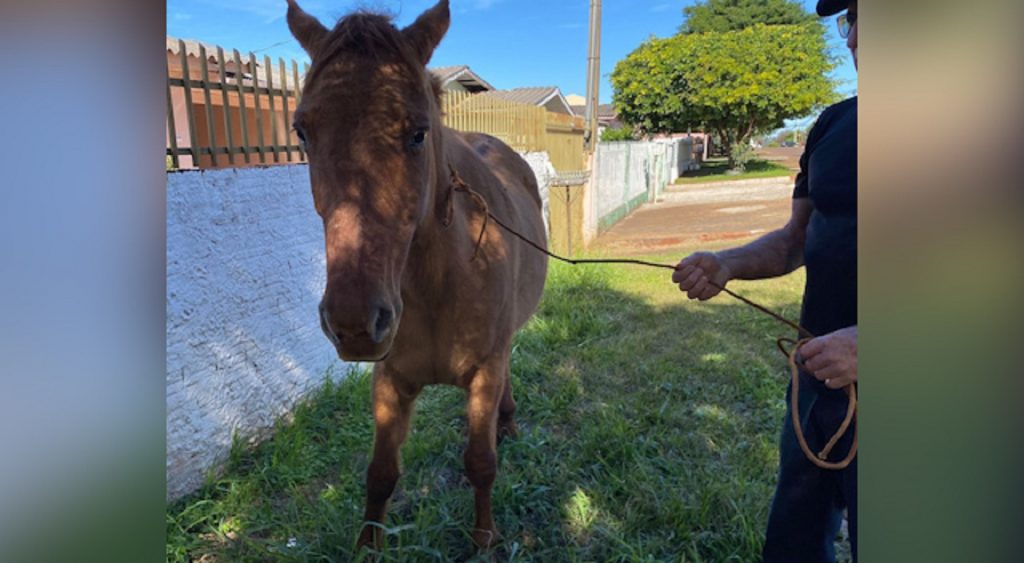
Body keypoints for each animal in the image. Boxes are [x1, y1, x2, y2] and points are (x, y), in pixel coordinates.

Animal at [286, 0, 548, 550]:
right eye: (302, 130)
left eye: (418, 133)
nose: (355, 324)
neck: (436, 286)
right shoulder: (389, 381)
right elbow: (380, 474)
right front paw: (367, 548)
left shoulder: (485, 370)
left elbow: (481, 462)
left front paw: (484, 540)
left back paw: (508, 422)